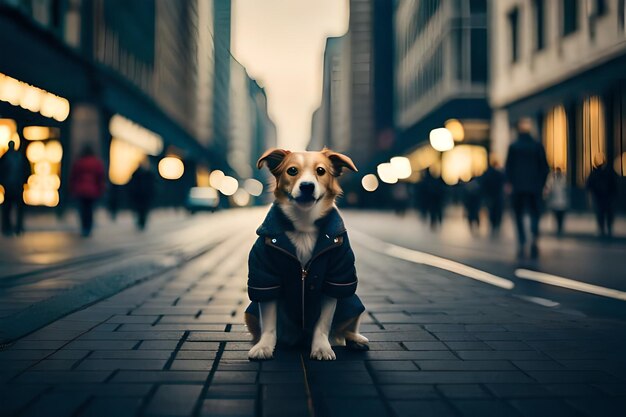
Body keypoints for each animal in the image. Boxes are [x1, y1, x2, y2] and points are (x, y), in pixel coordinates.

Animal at [244, 148, 368, 360]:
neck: (304, 224)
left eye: (321, 171)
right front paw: (265, 346)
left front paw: (321, 348)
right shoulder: (265, 276)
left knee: (346, 328)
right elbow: (268, 321)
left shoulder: (335, 277)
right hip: (250, 312)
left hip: (351, 300)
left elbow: (324, 322)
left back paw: (356, 340)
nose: (307, 186)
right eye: (292, 170)